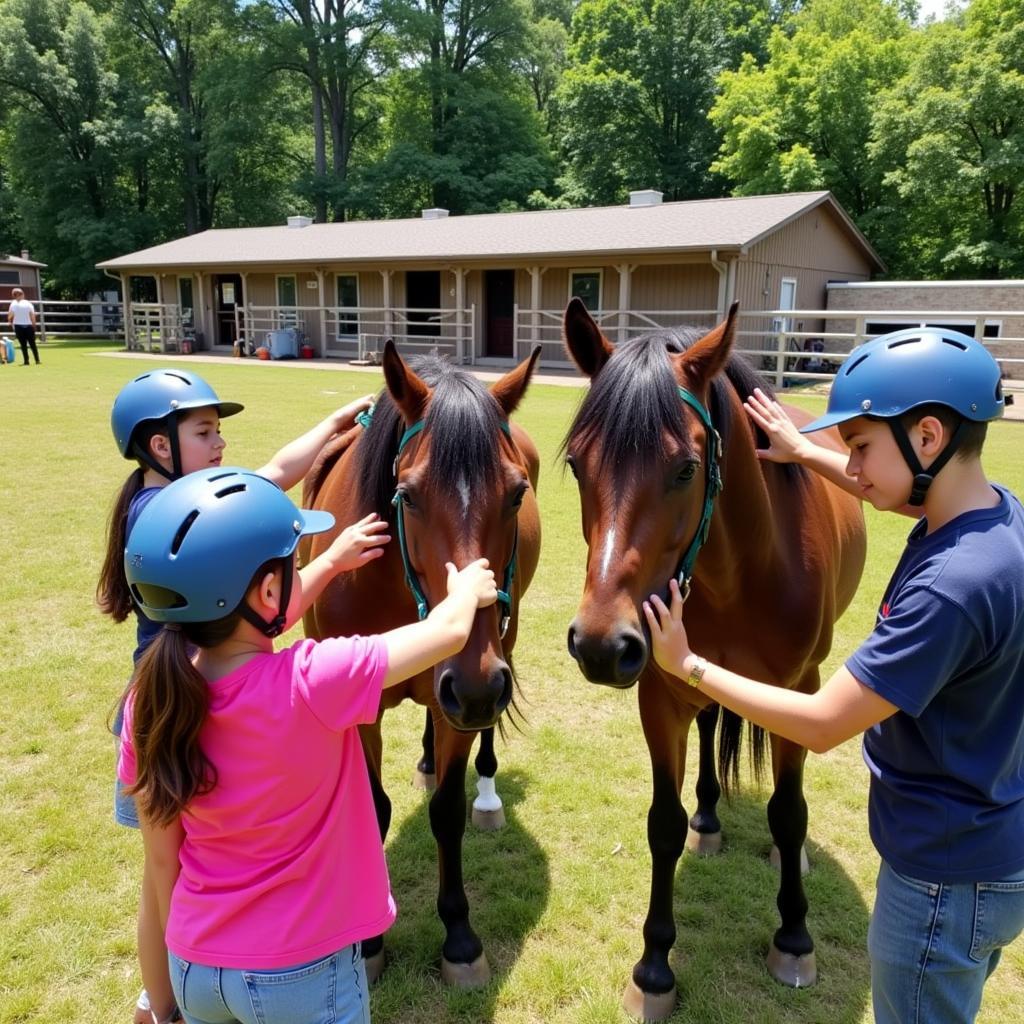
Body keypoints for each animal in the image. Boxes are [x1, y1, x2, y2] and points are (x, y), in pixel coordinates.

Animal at [303, 339, 544, 987]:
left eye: (517, 494)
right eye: (406, 496)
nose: (477, 685)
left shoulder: (462, 689)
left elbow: (447, 814)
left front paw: (459, 937)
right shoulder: (358, 704)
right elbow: (375, 808)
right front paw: (369, 942)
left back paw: (484, 792)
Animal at [561, 299, 864, 1019]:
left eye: (684, 468)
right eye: (578, 467)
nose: (601, 644)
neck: (744, 571)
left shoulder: (800, 690)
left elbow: (789, 810)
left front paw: (794, 938)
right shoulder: (660, 694)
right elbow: (663, 825)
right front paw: (654, 969)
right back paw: (709, 817)